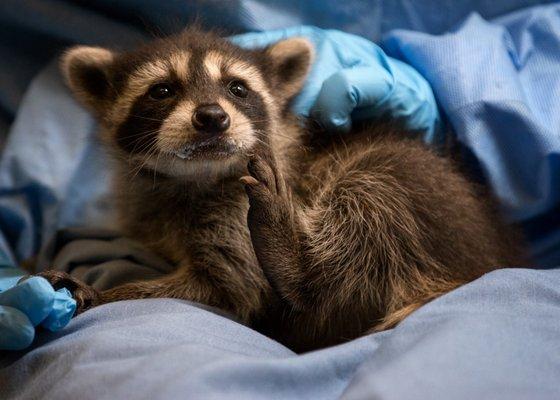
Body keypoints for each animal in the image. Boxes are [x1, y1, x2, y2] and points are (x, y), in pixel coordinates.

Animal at [41, 27, 524, 350]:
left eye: (237, 88)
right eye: (162, 91)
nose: (212, 117)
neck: (194, 178)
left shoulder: (237, 207)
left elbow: (233, 288)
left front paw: (104, 294)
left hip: (429, 199)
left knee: (378, 180)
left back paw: (296, 265)